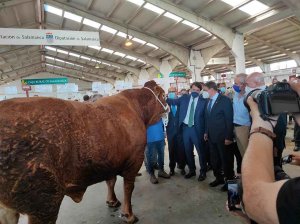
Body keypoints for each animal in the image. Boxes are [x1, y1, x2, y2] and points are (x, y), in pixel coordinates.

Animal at [0, 79, 166, 223]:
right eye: (164, 95)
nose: (167, 105)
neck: (136, 108)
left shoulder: (110, 160)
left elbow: (110, 181)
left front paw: (112, 201)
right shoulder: (134, 160)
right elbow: (128, 188)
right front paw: (129, 215)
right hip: (44, 200)